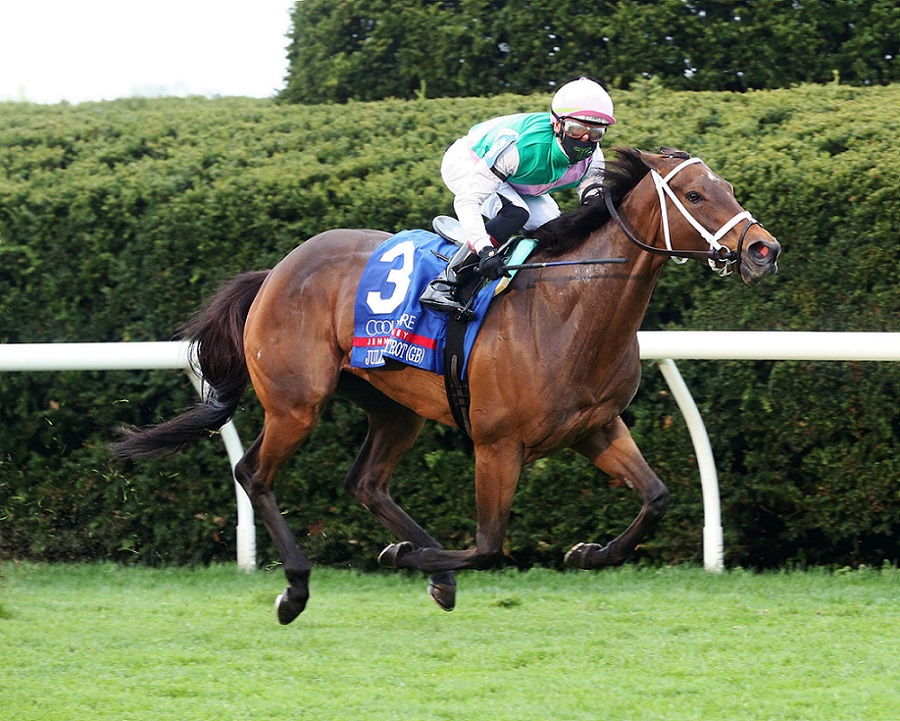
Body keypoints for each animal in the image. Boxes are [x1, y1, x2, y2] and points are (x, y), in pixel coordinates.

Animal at [114, 147, 781, 624]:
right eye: (694, 194)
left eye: (727, 188)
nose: (763, 249)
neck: (568, 307)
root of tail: (276, 270)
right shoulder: (497, 444)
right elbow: (488, 544)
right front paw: (406, 557)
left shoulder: (595, 427)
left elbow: (657, 498)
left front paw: (588, 553)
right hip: (296, 402)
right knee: (254, 473)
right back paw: (298, 588)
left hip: (393, 406)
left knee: (366, 483)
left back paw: (425, 569)